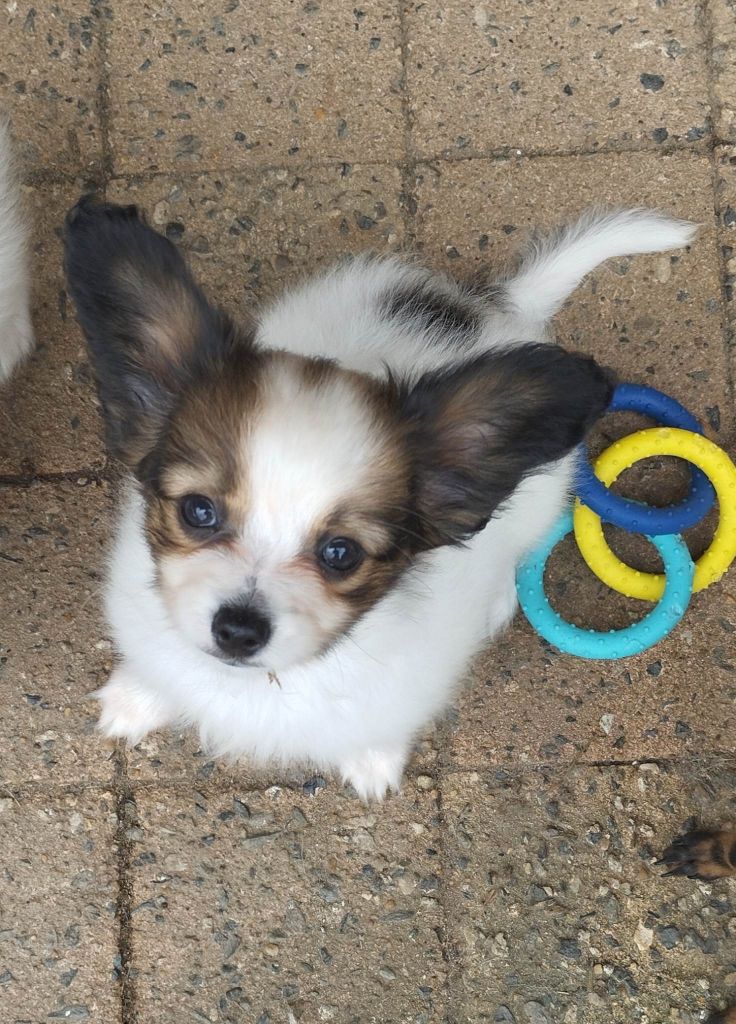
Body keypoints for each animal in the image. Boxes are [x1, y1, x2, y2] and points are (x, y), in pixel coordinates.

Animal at [64, 200, 696, 800]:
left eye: (341, 553)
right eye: (199, 511)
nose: (238, 630)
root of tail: (499, 312)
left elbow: (379, 725)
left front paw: (372, 761)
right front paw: (138, 698)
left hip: (540, 499)